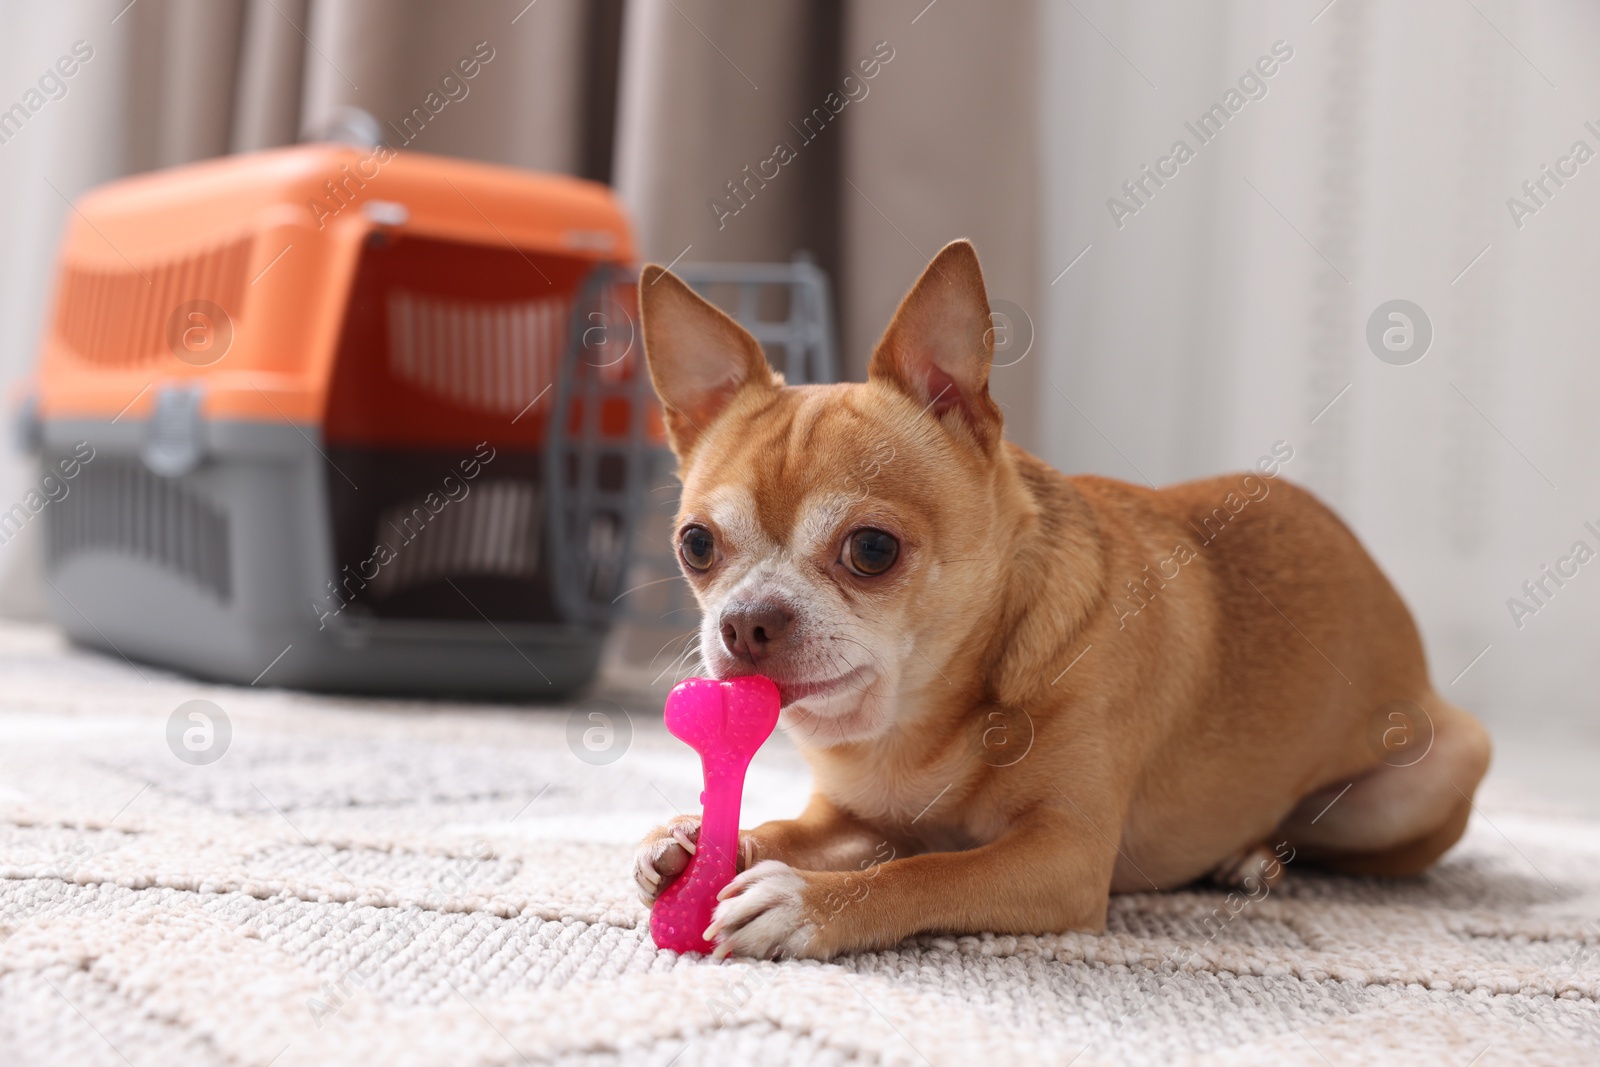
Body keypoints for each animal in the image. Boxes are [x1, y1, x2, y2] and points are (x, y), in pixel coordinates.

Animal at [624, 239, 1484, 959]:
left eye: (872, 550)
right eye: (696, 545)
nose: (745, 620)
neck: (915, 725)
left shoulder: (1063, 856)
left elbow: (928, 872)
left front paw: (806, 902)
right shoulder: (854, 820)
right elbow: (784, 826)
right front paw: (692, 838)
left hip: (1431, 775)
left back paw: (1250, 854)